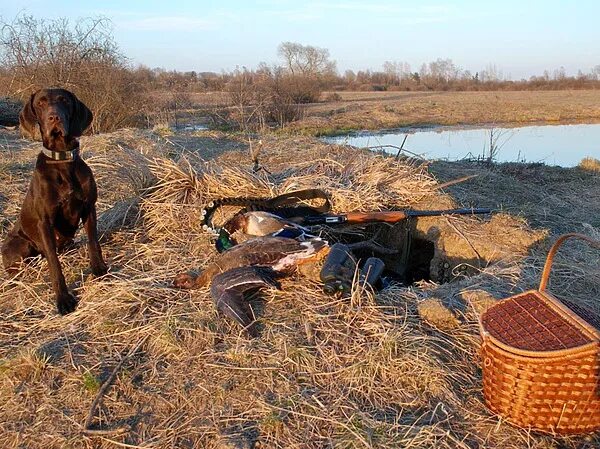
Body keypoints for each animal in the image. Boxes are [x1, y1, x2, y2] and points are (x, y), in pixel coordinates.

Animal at [1, 86, 107, 312]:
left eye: (64, 101)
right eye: (40, 103)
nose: (54, 117)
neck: (62, 160)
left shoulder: (89, 208)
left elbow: (93, 241)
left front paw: (99, 268)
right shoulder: (45, 223)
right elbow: (54, 263)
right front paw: (63, 299)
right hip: (20, 246)